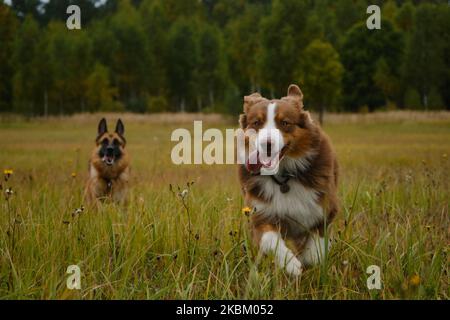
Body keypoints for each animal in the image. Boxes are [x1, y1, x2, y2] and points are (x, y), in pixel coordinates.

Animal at [239, 84, 338, 276]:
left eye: (285, 123)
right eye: (256, 123)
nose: (267, 144)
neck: (283, 177)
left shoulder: (324, 209)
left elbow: (315, 245)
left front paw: (309, 259)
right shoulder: (261, 214)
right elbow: (270, 239)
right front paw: (291, 264)